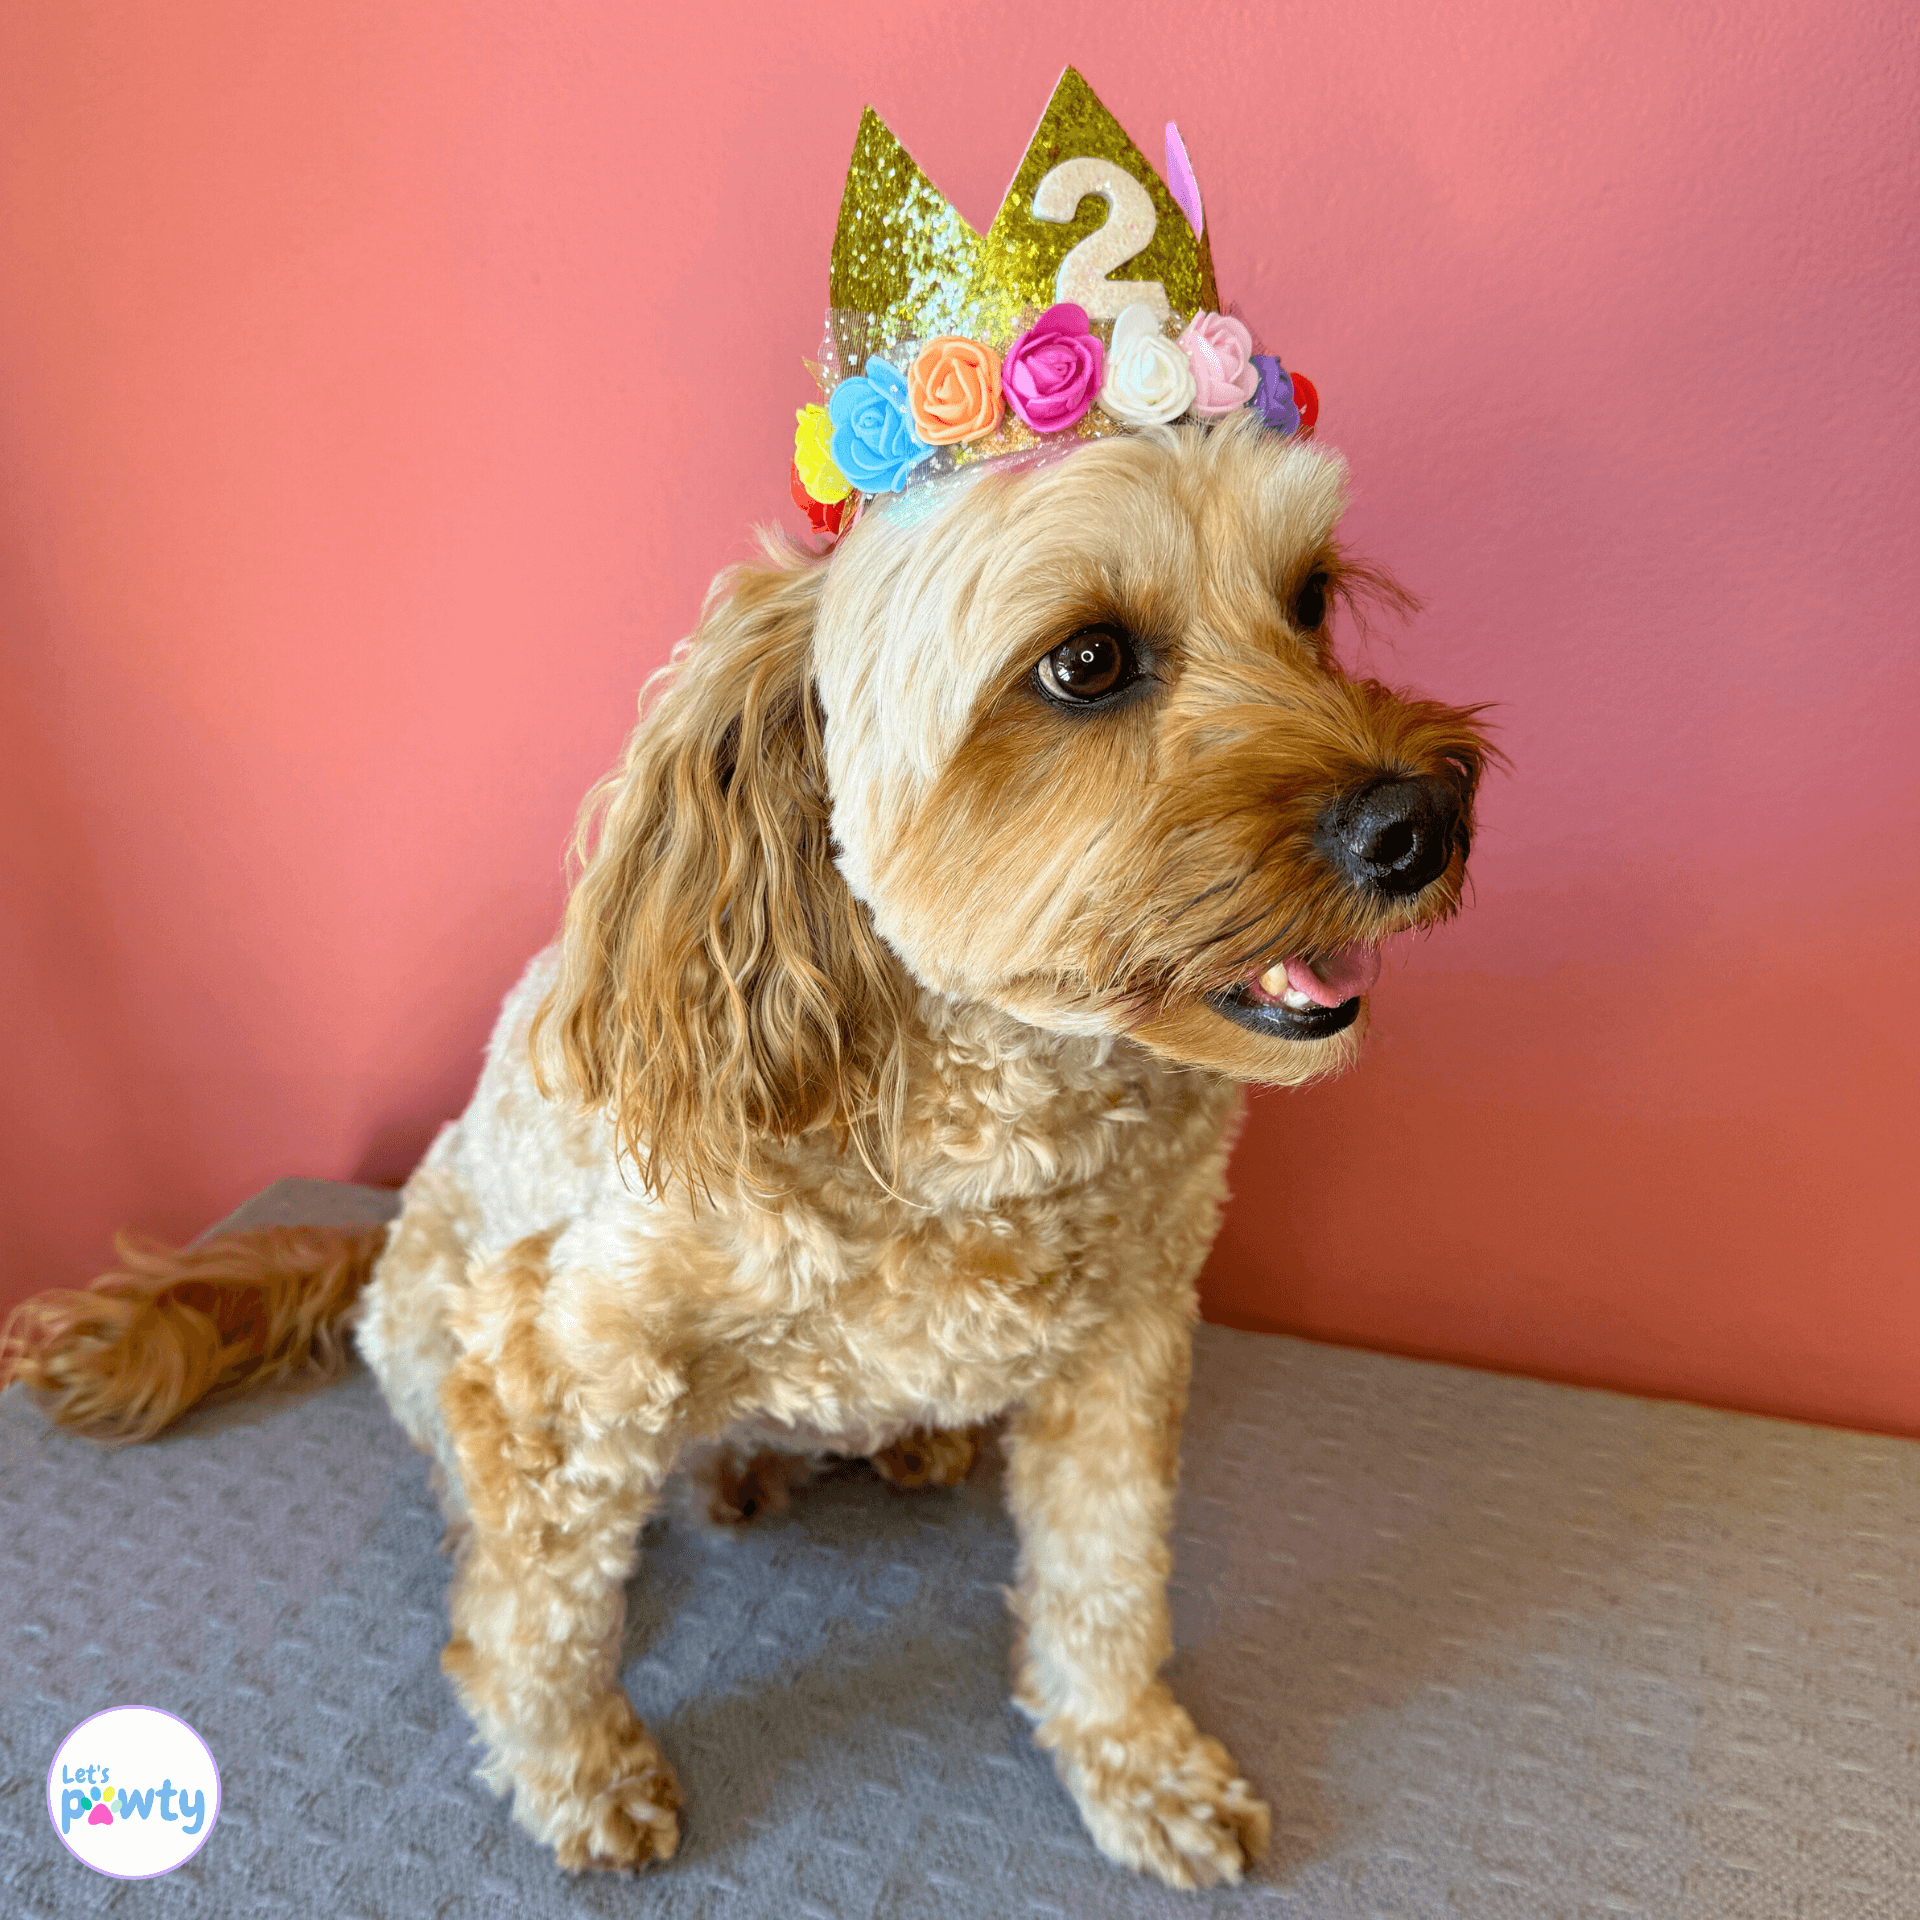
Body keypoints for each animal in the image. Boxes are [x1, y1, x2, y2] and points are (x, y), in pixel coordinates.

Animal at [3, 420, 1482, 1889]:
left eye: (1311, 598)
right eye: (1085, 662)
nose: (1423, 820)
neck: (987, 1123)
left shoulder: (1130, 1341)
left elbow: (1108, 1576)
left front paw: (1137, 1757)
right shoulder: (559, 1352)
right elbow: (535, 1623)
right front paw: (574, 1765)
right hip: (443, 1315)